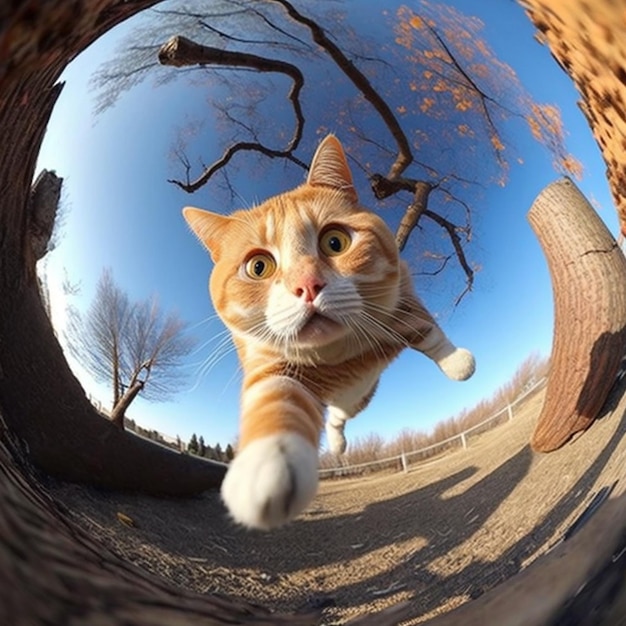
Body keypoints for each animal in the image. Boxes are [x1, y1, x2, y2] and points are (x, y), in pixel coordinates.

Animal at [184, 135, 472, 528]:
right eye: (258, 267)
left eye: (335, 242)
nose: (307, 285)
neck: (339, 354)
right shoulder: (270, 366)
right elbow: (274, 402)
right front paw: (264, 471)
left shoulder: (402, 301)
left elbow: (426, 330)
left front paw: (457, 362)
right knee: (336, 415)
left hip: (361, 396)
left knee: (340, 413)